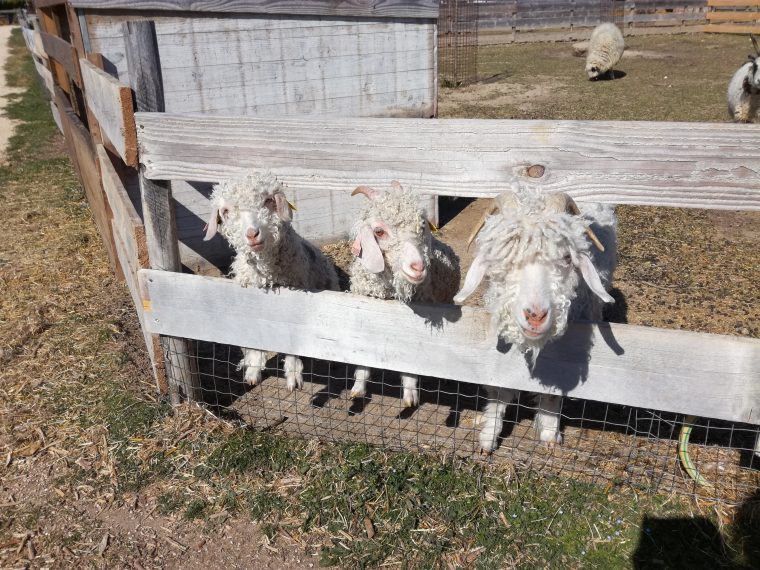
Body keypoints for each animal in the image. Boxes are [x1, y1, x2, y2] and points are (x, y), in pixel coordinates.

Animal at [454, 186, 616, 452]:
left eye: (567, 258)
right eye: (502, 259)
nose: (536, 315)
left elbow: (552, 392)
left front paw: (549, 433)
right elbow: (498, 388)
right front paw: (488, 435)